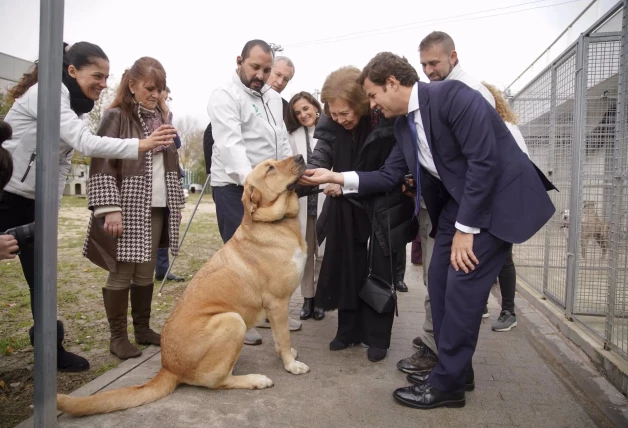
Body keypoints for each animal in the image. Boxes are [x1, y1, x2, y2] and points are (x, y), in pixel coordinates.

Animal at [60, 155, 310, 416]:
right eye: (270, 168)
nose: (301, 157)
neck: (277, 223)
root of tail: (168, 368)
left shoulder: (275, 308)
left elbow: (278, 336)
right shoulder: (278, 302)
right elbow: (284, 337)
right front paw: (291, 365)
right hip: (232, 320)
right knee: (216, 381)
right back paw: (255, 380)